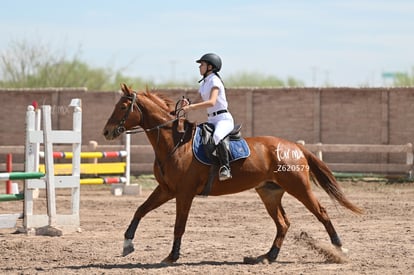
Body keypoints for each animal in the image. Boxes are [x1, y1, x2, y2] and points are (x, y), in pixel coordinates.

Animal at [102, 83, 362, 266]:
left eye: (123, 107)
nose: (106, 132)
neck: (175, 143)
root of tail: (295, 146)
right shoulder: (166, 190)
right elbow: (140, 210)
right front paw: (127, 244)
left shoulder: (184, 193)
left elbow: (179, 225)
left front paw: (172, 256)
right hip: (269, 193)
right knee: (283, 223)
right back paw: (267, 256)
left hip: (299, 187)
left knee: (321, 213)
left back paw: (339, 249)